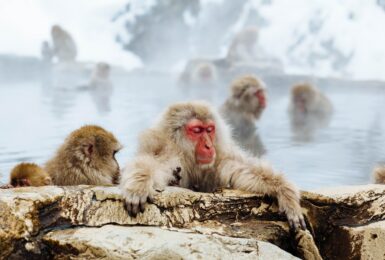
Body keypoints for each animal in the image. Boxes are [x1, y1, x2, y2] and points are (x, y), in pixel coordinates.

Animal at [121, 101, 306, 230]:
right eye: (197, 130)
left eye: (209, 129)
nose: (209, 146)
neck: (188, 158)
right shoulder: (168, 153)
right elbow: (152, 164)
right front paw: (139, 185)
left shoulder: (219, 158)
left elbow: (243, 170)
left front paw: (285, 192)